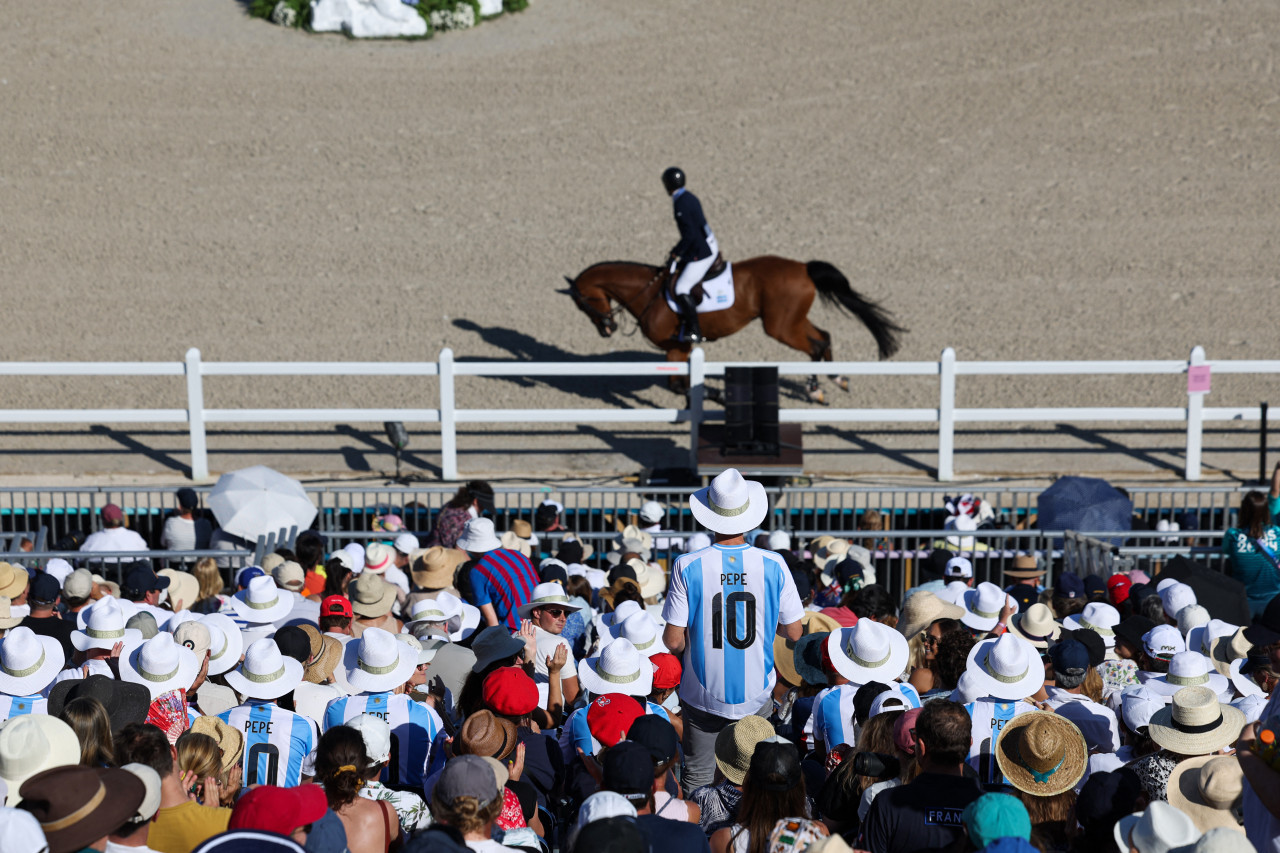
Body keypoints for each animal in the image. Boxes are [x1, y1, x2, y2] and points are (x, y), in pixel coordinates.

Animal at [565, 253, 906, 399]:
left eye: (583, 303)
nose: (606, 329)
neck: (648, 293)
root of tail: (802, 268)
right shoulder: (678, 348)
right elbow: (678, 385)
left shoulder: (677, 345)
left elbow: (682, 386)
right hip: (791, 321)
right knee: (823, 337)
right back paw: (835, 380)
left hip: (780, 326)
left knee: (817, 343)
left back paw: (817, 388)